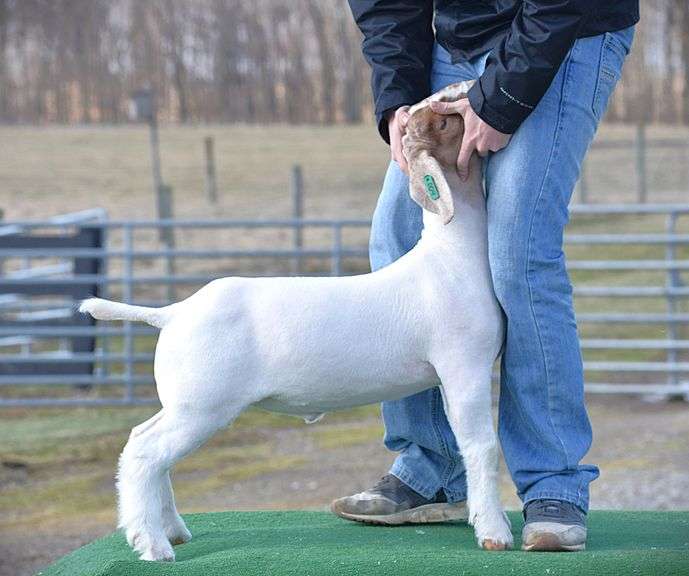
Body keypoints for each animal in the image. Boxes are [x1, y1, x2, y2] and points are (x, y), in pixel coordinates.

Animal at [80, 81, 513, 561]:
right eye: (439, 123)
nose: (466, 88)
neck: (450, 257)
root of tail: (173, 312)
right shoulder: (464, 367)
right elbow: (481, 446)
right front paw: (494, 532)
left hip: (186, 403)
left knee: (150, 448)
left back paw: (172, 529)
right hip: (200, 404)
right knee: (144, 452)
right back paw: (154, 545)